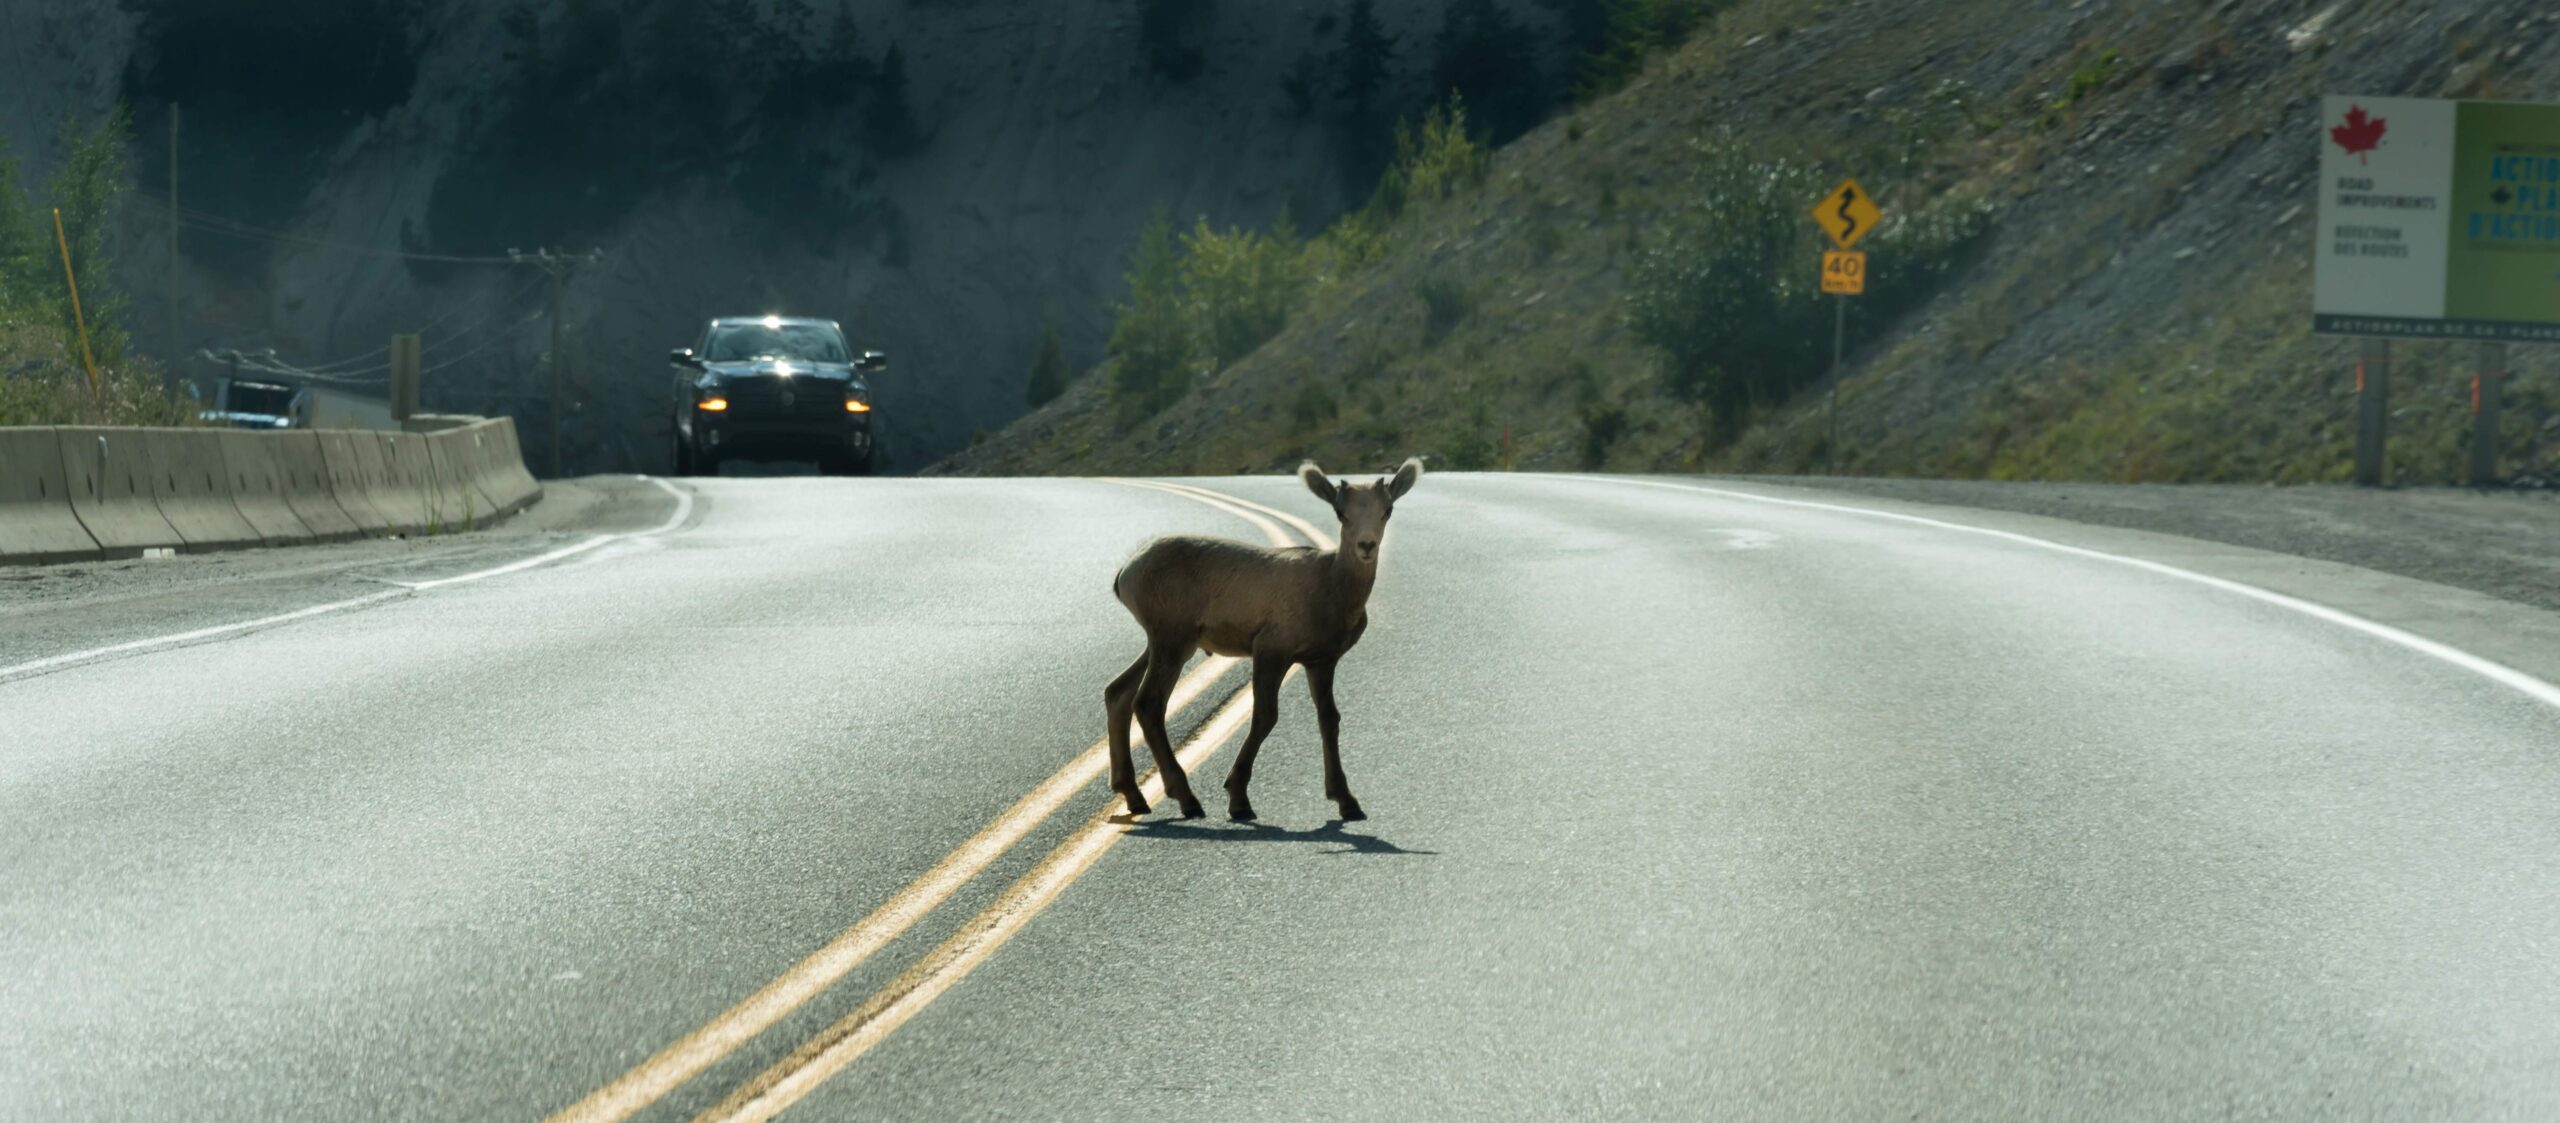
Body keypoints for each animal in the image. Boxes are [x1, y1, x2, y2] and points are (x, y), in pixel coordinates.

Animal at [1100, 460, 1423, 823]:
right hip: (1171, 642)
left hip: (1165, 646)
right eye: (1341, 512)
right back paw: (1187, 799)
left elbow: (1329, 719)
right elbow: (1265, 716)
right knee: (1148, 704)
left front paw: (1347, 801)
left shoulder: (1320, 661)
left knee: (1118, 693)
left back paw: (1134, 796)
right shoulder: (1270, 652)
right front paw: (1239, 799)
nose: (1366, 546)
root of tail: (1126, 572)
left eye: (1387, 510)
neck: (1331, 587)